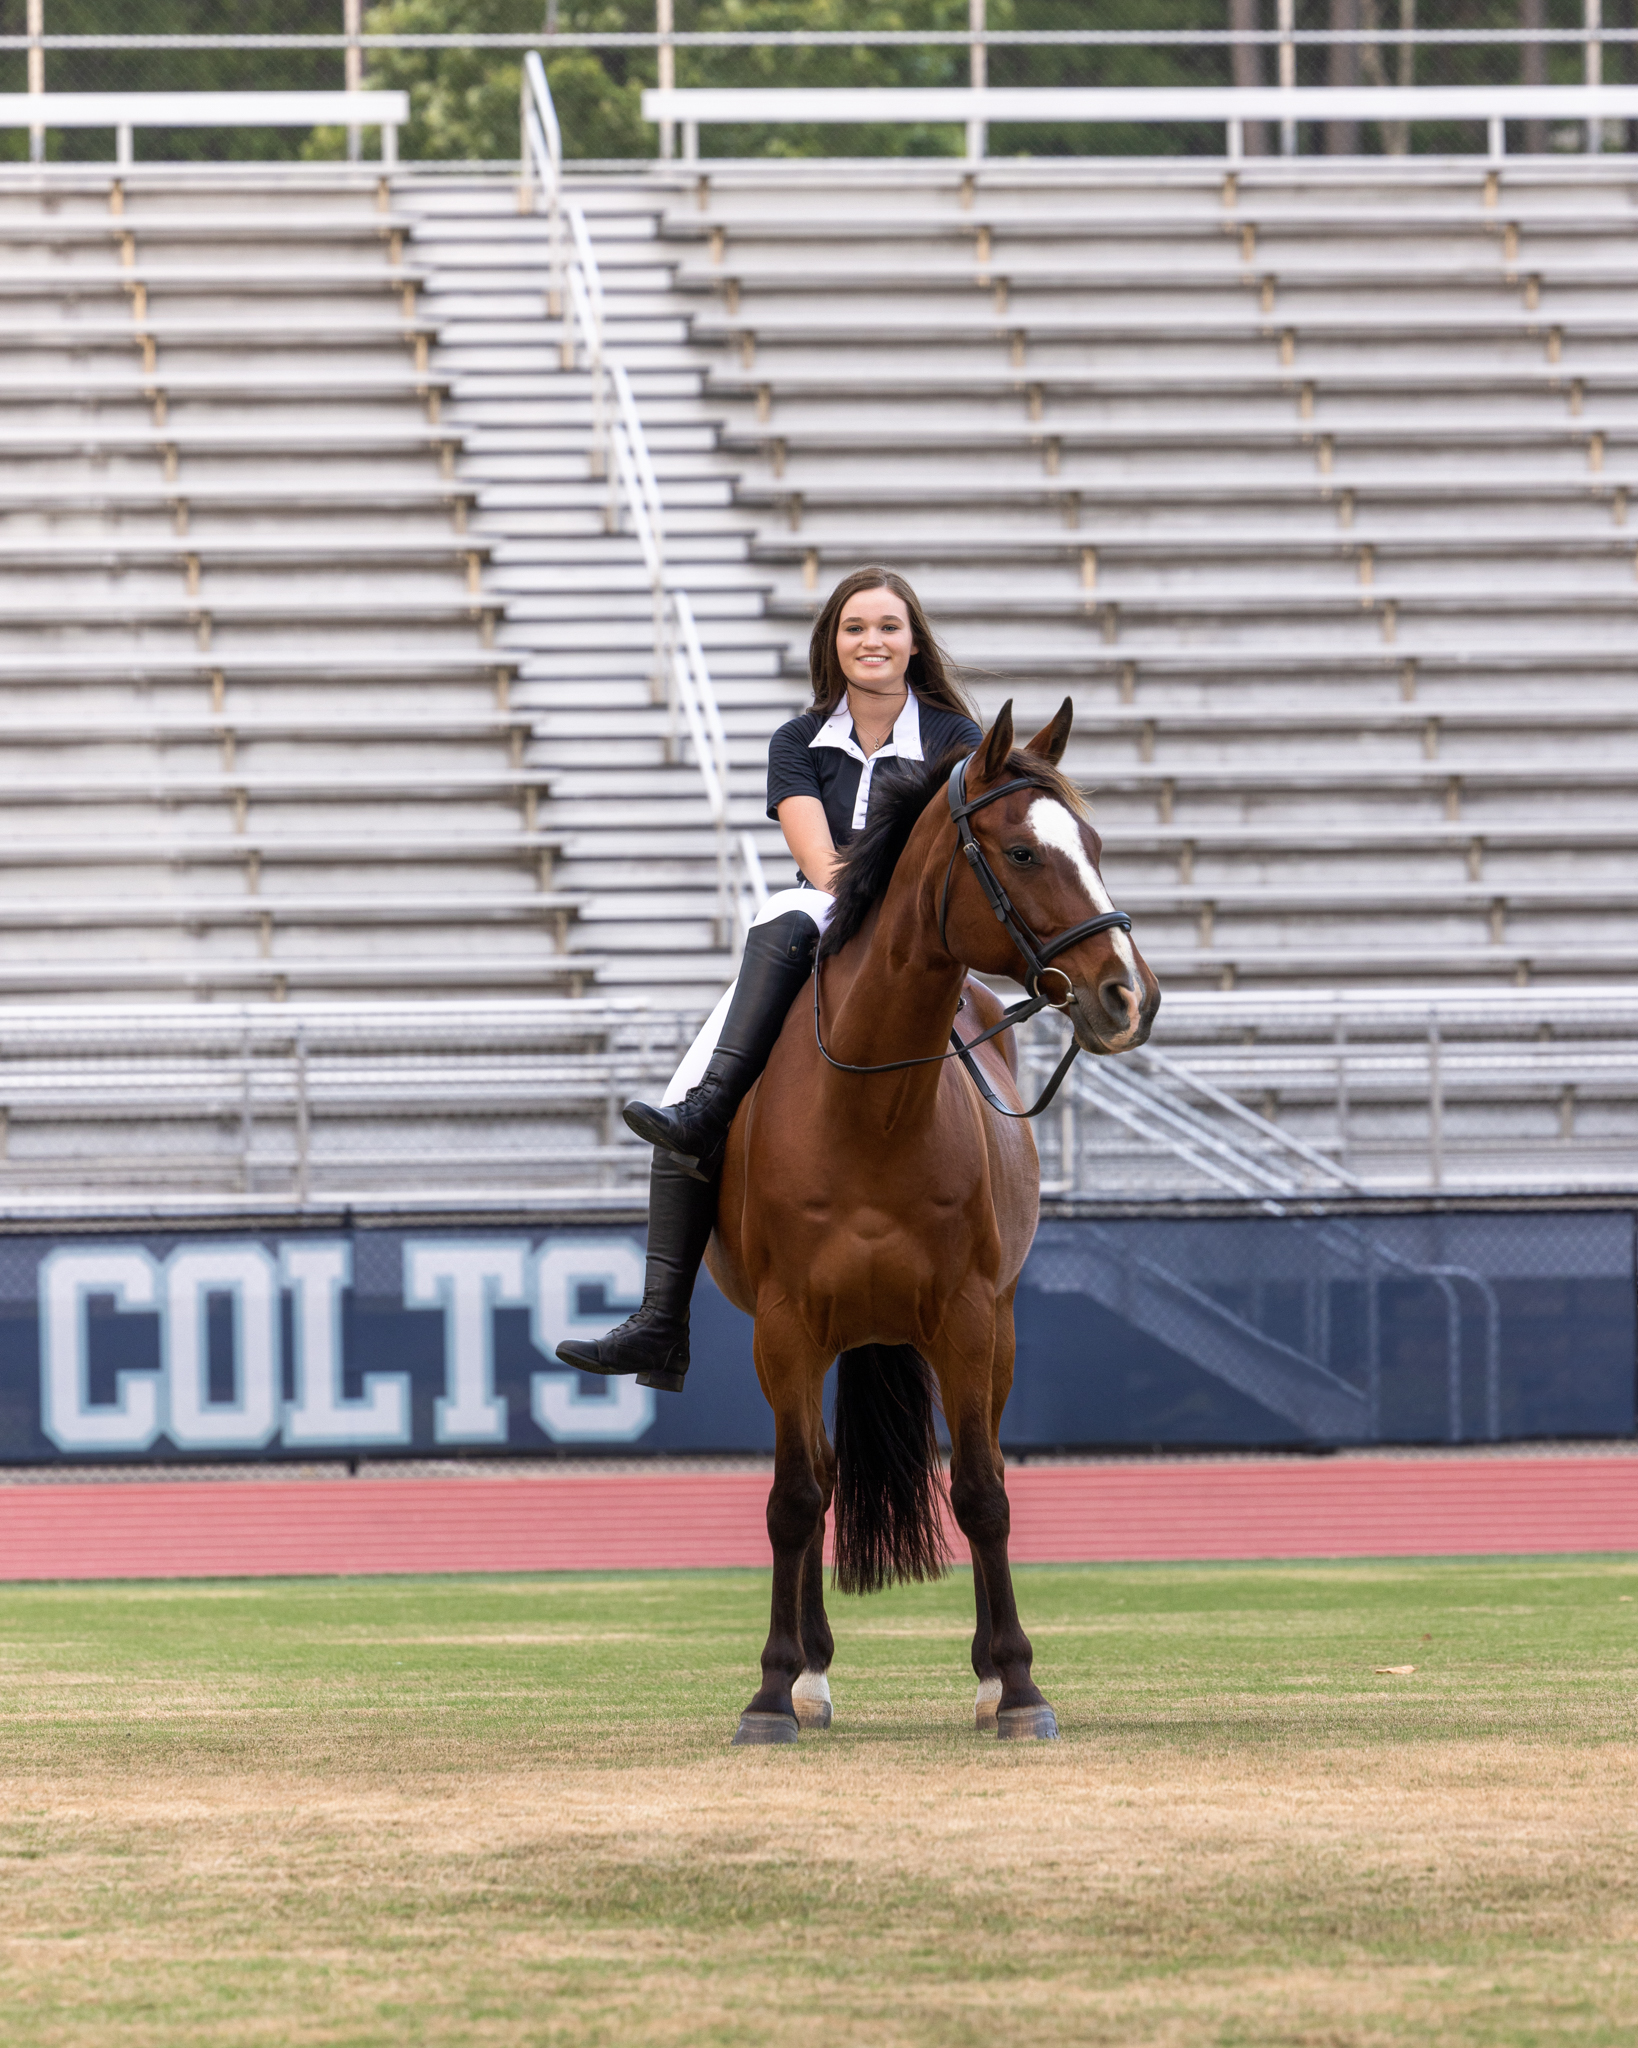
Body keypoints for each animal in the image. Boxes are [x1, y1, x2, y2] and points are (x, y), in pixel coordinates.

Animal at [708, 700, 1154, 1744]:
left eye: (1095, 846)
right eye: (1024, 853)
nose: (1128, 996)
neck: (869, 1106)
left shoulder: (969, 1318)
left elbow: (984, 1494)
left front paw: (1017, 1686)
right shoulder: (784, 1328)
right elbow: (794, 1498)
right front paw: (772, 1691)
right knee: (820, 1475)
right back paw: (811, 1676)